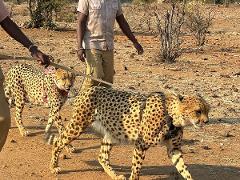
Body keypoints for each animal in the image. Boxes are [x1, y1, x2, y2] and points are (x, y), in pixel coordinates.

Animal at [49, 86, 209, 179]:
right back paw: (54, 166)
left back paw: (115, 176)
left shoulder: (173, 149)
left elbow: (183, 168)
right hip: (79, 125)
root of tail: (90, 88)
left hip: (112, 132)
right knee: (58, 141)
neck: (173, 116)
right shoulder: (140, 145)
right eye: (198, 111)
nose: (206, 121)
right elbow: (136, 169)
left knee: (102, 156)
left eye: (208, 110)